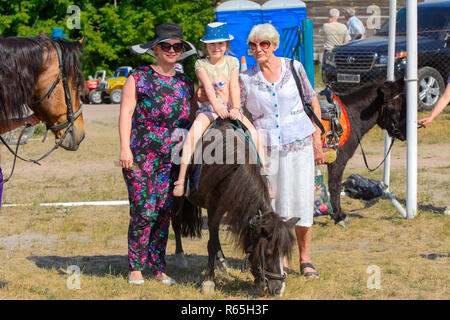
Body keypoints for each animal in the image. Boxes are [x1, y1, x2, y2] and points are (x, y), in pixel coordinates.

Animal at [172, 119, 298, 296]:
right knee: (176, 221)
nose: (278, 290)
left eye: (283, 254)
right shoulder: (213, 207)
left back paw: (222, 261)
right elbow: (211, 243)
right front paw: (209, 280)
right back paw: (180, 257)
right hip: (176, 198)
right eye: (268, 252)